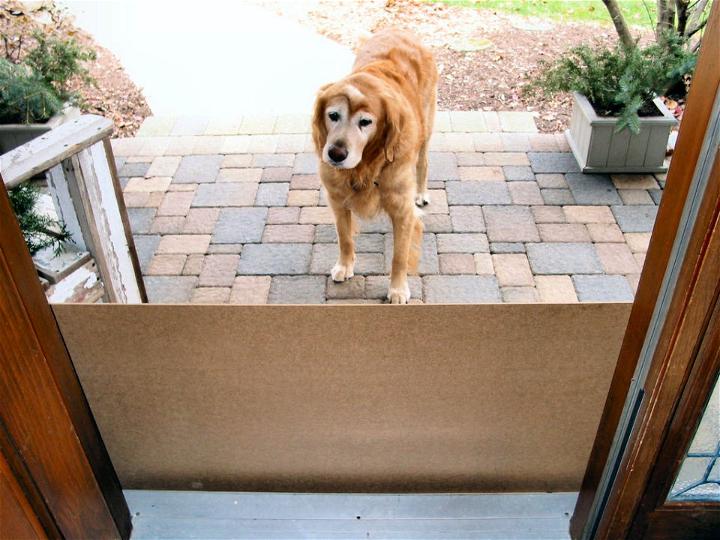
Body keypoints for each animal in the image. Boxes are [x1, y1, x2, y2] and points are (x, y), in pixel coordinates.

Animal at [310, 28, 436, 304]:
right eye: (333, 115)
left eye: (365, 122)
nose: (335, 154)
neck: (365, 166)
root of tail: (398, 29)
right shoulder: (337, 199)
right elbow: (344, 237)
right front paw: (345, 265)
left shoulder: (402, 210)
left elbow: (399, 256)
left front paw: (398, 289)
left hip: (427, 126)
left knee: (423, 162)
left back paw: (421, 193)